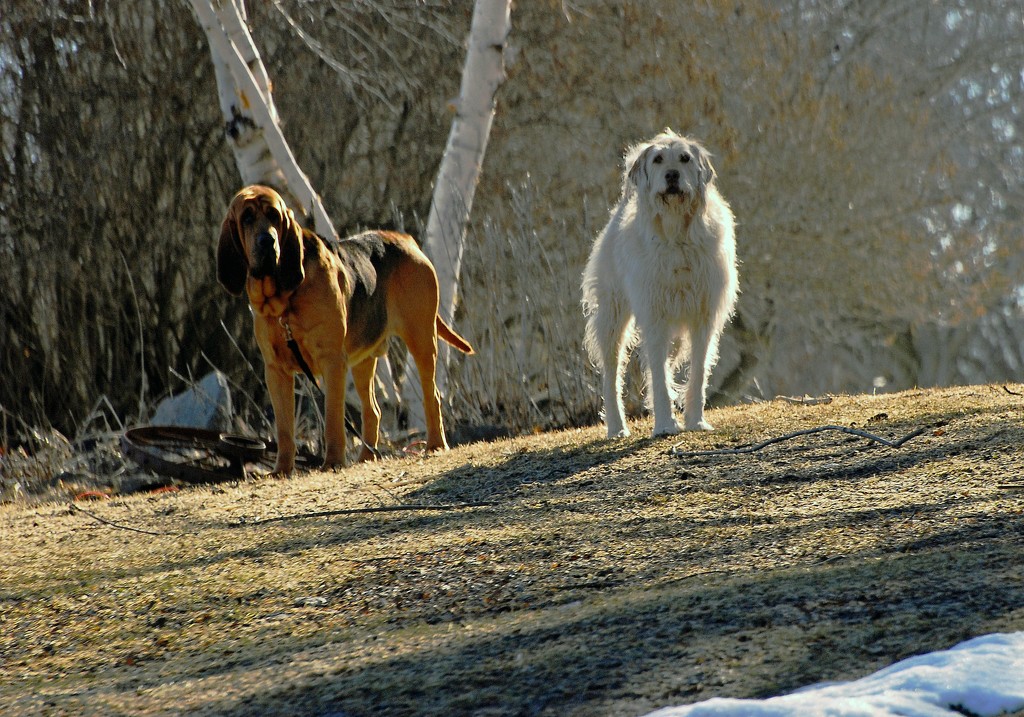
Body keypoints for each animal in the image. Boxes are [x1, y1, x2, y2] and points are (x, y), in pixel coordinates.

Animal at [218, 187, 473, 473]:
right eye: (247, 218)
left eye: (274, 215)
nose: (267, 241)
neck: (286, 301)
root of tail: (407, 240)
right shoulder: (276, 371)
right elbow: (284, 429)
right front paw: (282, 469)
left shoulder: (332, 362)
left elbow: (332, 419)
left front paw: (332, 462)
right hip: (365, 362)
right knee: (373, 410)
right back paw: (366, 457)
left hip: (421, 341)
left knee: (433, 396)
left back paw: (436, 445)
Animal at [585, 132, 737, 440]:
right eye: (657, 159)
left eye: (685, 158)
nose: (672, 175)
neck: (677, 232)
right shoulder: (654, 316)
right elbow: (656, 372)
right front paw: (665, 423)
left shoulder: (704, 317)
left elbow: (698, 371)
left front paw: (695, 420)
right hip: (612, 318)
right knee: (612, 372)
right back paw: (616, 427)